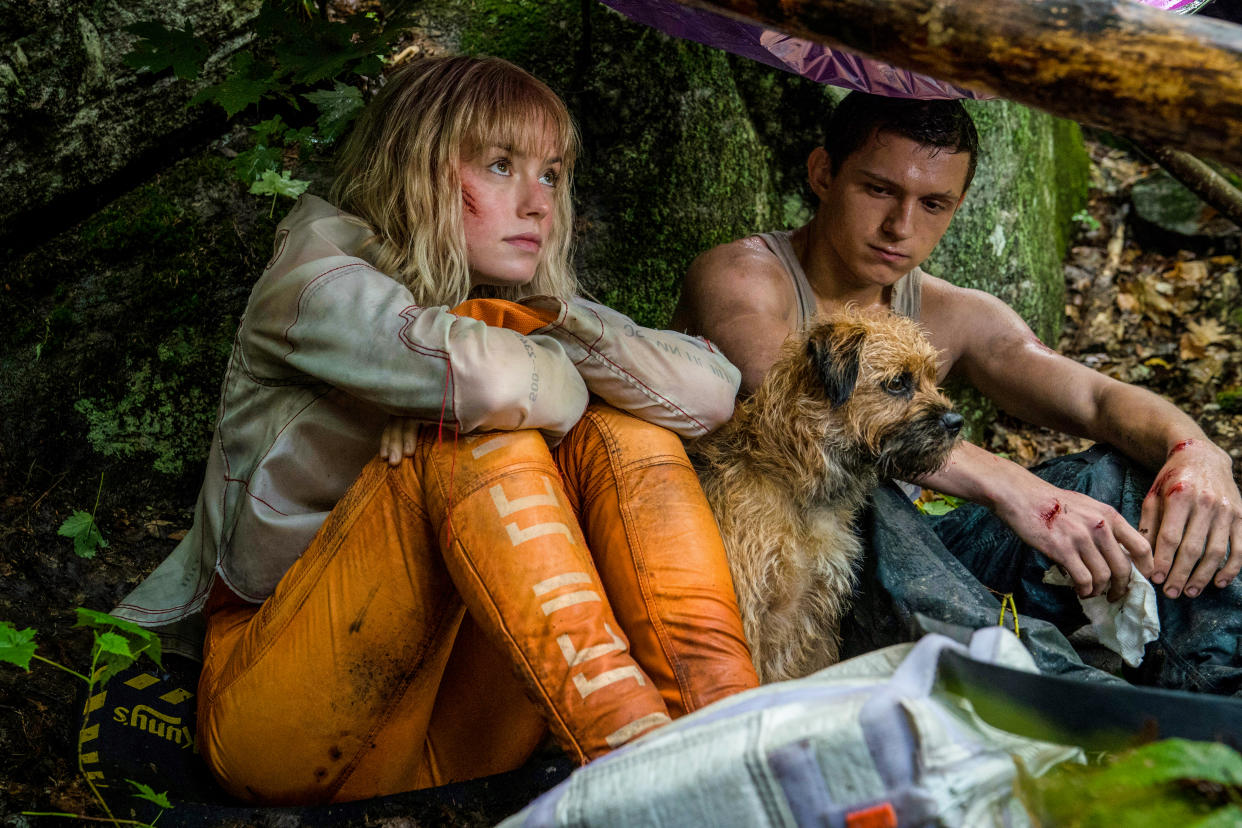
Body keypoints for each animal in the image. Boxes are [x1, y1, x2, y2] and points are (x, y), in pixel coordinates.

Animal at [695, 307, 963, 685]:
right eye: (897, 383)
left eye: (930, 378)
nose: (957, 421)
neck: (793, 478)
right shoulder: (751, 609)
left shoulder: (818, 613)